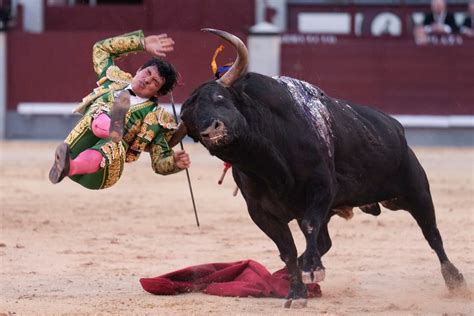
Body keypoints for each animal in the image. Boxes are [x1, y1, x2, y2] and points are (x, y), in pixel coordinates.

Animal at [171, 29, 466, 306]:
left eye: (220, 98)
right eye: (190, 122)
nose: (212, 130)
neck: (267, 163)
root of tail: (396, 126)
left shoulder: (321, 188)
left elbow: (308, 226)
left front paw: (312, 271)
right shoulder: (260, 212)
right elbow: (287, 249)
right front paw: (296, 291)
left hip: (415, 190)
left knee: (432, 233)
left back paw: (455, 280)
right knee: (325, 241)